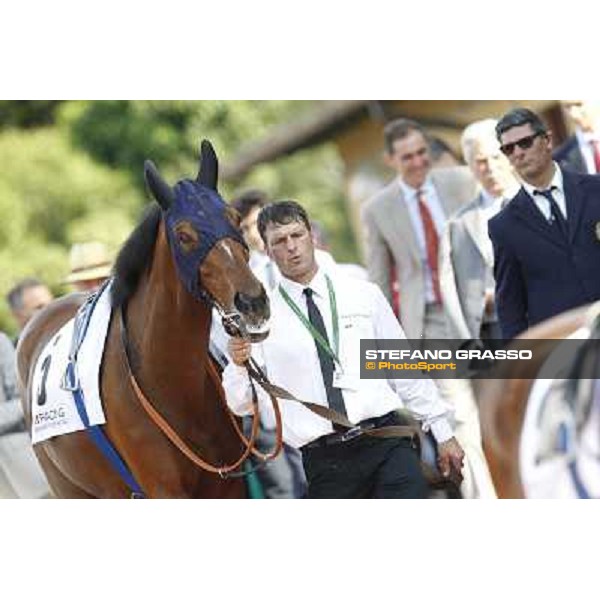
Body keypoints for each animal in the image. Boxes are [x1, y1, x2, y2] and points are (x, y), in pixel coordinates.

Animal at [16, 139, 270, 496]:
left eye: (234, 218)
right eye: (184, 235)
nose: (252, 301)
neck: (169, 380)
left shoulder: (228, 486)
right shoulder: (164, 489)